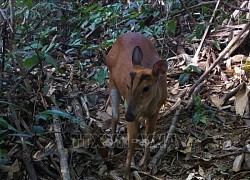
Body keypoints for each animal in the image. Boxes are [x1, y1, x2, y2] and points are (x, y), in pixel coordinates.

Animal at [106, 32, 167, 179]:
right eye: (128, 85)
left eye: (146, 88)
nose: (128, 116)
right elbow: (131, 141)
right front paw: (126, 173)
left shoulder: (155, 110)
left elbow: (149, 135)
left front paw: (145, 164)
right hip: (112, 82)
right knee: (115, 116)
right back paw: (111, 150)